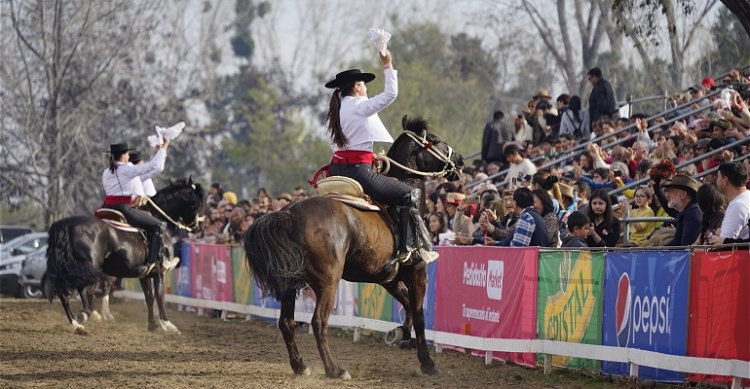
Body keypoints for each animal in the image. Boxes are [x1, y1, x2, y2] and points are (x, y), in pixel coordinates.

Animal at [47, 177, 206, 332]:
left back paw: (77, 324)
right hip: (86, 269)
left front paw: (152, 325)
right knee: (84, 290)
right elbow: (160, 296)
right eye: (196, 205)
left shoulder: (145, 274)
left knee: (65, 294)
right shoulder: (160, 272)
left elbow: (149, 297)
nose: (199, 228)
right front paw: (167, 325)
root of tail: (65, 224)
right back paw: (85, 316)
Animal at [244, 115, 464, 376]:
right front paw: (427, 362)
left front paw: (400, 333)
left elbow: (407, 304)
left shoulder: (388, 279)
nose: (459, 160)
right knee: (318, 321)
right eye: (435, 139)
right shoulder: (417, 271)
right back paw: (334, 369)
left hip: (291, 283)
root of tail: (289, 214)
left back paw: (300, 366)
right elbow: (419, 313)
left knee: (287, 323)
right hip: (328, 281)